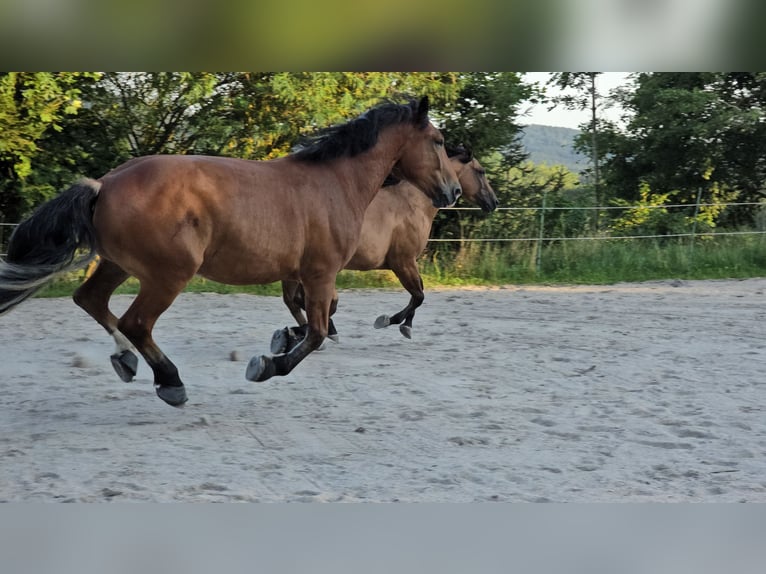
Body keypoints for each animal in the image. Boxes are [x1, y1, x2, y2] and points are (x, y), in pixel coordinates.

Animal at [0, 97, 462, 408]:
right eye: (438, 140)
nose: (453, 192)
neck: (334, 183)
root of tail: (105, 184)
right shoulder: (321, 272)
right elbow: (314, 332)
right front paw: (266, 365)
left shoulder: (307, 274)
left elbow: (315, 323)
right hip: (168, 275)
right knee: (136, 322)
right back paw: (170, 381)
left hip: (118, 264)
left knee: (91, 300)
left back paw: (126, 360)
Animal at [272, 146, 500, 354]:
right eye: (481, 171)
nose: (494, 202)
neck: (412, 204)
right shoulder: (403, 262)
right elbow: (419, 295)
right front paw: (390, 321)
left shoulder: (408, 263)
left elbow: (419, 293)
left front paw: (405, 325)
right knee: (302, 301)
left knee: (294, 301)